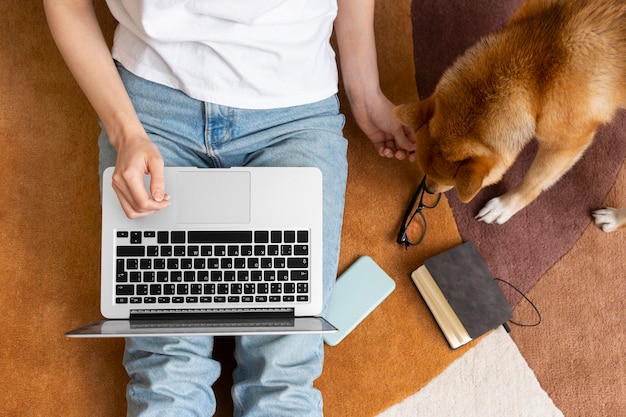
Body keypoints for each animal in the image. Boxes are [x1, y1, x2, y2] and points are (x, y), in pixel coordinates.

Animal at [392, 0, 624, 231]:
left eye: (452, 181)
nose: (429, 190)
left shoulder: (566, 144)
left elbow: (532, 182)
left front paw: (504, 206)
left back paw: (614, 218)